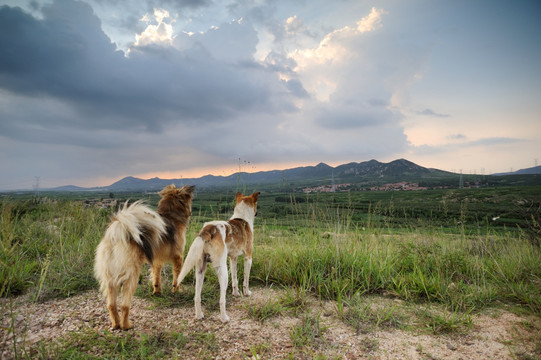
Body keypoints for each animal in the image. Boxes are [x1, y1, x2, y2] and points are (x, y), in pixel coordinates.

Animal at [94, 186, 194, 330]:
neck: (171, 214)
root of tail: (118, 234)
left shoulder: (156, 261)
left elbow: (156, 278)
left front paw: (157, 292)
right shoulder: (178, 257)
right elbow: (177, 277)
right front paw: (176, 290)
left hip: (109, 277)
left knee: (111, 305)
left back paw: (116, 324)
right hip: (131, 275)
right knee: (124, 305)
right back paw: (126, 325)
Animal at [177, 191, 260, 324]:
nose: (257, 212)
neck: (242, 217)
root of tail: (209, 229)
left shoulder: (233, 258)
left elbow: (235, 279)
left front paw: (236, 293)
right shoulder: (248, 257)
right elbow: (245, 280)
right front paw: (246, 293)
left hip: (200, 270)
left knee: (197, 297)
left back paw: (199, 315)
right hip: (222, 271)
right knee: (222, 300)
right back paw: (224, 318)